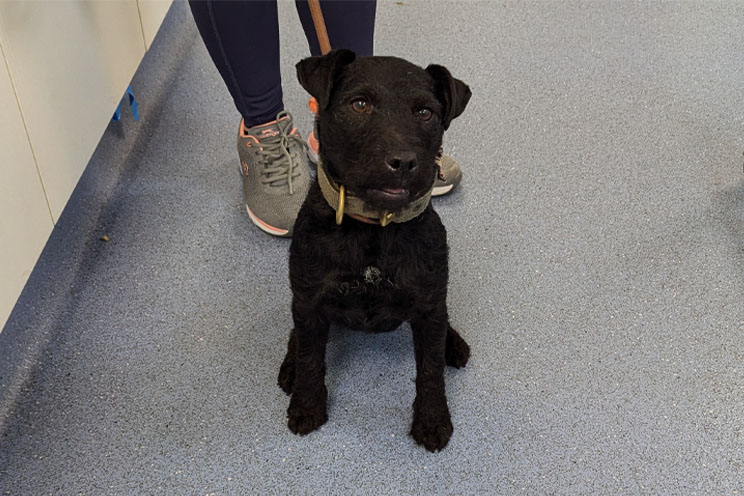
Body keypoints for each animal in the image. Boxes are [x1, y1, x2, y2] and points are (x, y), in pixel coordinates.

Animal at [277, 50, 471, 452]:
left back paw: (453, 342)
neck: (373, 228)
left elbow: (430, 370)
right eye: (360, 104)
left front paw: (432, 419)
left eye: (425, 112)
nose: (403, 162)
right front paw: (306, 405)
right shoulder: (309, 301)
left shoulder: (429, 305)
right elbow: (309, 356)